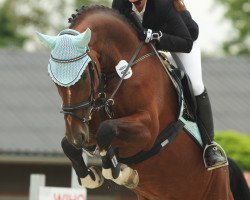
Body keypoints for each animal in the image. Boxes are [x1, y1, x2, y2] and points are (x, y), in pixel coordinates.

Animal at [37, 5, 234, 200]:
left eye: (85, 75)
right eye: (52, 79)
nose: (76, 136)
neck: (122, 70)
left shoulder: (148, 130)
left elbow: (106, 130)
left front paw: (120, 172)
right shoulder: (88, 124)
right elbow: (69, 144)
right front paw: (90, 177)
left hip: (217, 191)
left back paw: (213, 155)